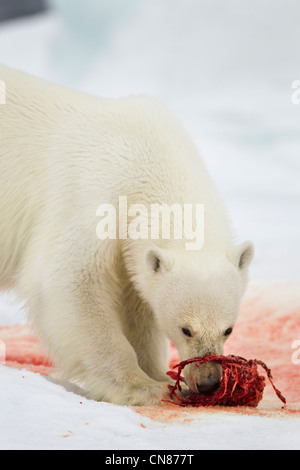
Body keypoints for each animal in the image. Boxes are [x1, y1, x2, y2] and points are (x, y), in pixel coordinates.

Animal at [0, 65, 254, 404]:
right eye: (186, 329)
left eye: (228, 329)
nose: (209, 381)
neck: (146, 156)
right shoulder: (92, 196)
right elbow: (70, 281)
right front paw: (143, 386)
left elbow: (138, 303)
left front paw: (162, 376)